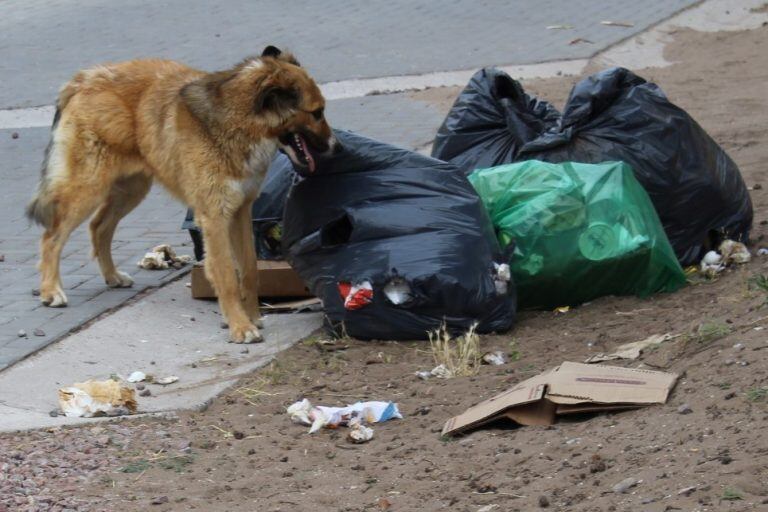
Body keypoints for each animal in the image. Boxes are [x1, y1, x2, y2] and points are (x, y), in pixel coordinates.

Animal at [26, 47, 336, 344]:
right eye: (317, 112)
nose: (334, 146)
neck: (237, 119)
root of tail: (84, 79)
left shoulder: (241, 211)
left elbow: (248, 269)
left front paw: (252, 317)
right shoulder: (214, 217)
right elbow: (226, 274)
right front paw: (240, 326)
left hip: (131, 188)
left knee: (99, 226)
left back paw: (112, 276)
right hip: (88, 187)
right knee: (51, 236)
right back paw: (51, 290)